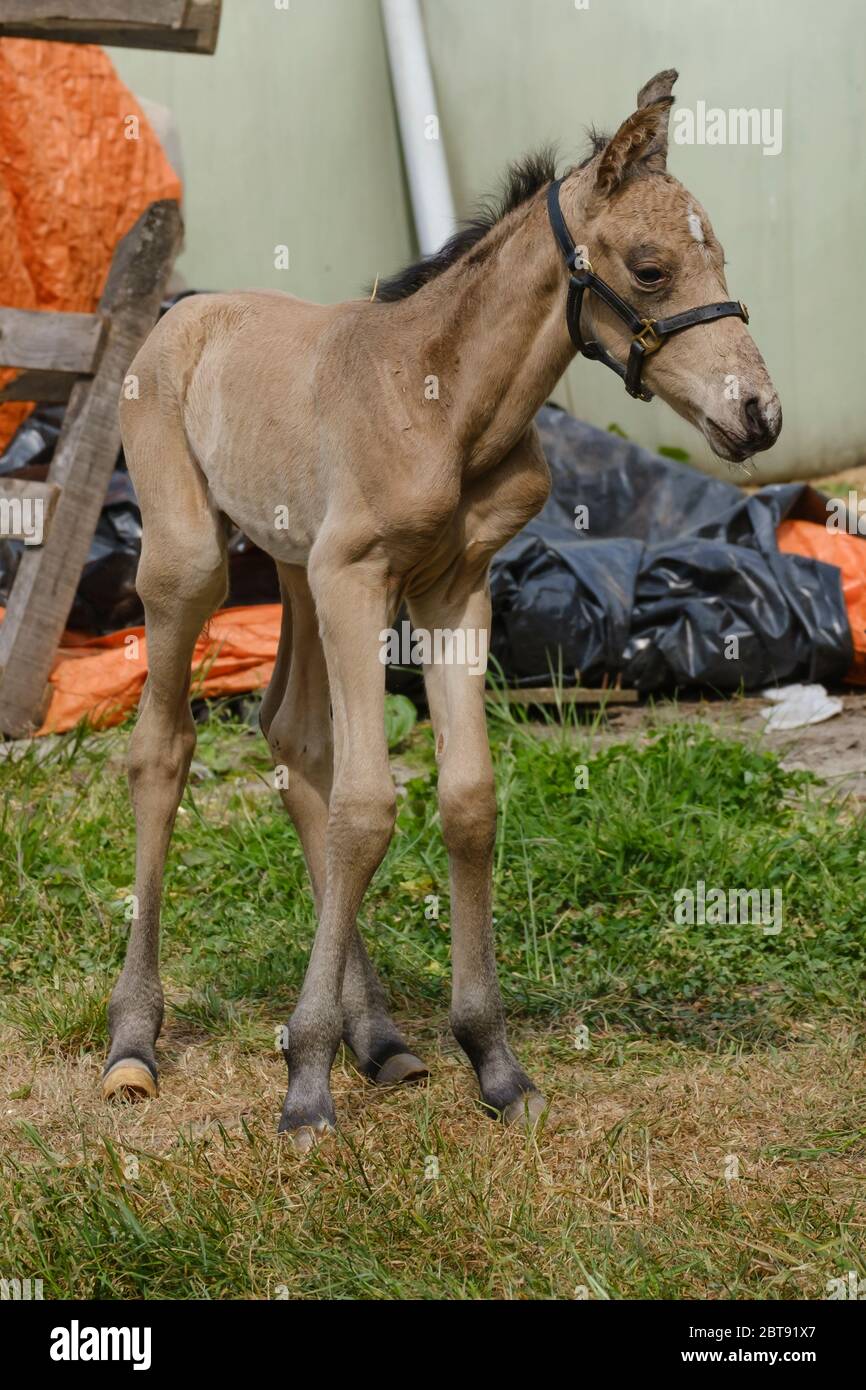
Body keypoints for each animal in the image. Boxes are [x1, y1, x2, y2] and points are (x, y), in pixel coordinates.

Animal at [104, 70, 783, 1145]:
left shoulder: (452, 586)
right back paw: (135, 1043)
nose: (758, 415)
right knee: (163, 753)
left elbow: (464, 800)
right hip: (191, 564)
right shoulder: (358, 575)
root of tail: (181, 312)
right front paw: (305, 1085)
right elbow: (369, 807)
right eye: (651, 267)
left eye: (718, 252)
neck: (446, 400)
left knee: (294, 738)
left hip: (294, 567)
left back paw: (378, 1035)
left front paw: (492, 1062)